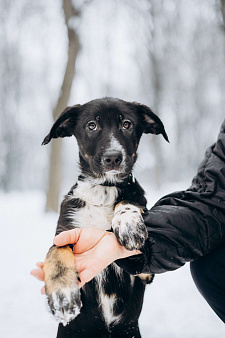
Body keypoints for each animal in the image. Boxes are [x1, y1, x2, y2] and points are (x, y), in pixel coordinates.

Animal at [42, 96, 169, 336]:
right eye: (92, 125)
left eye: (127, 124)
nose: (113, 158)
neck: (103, 189)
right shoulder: (64, 234)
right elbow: (56, 254)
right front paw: (63, 295)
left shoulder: (145, 274)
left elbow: (129, 199)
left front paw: (128, 224)